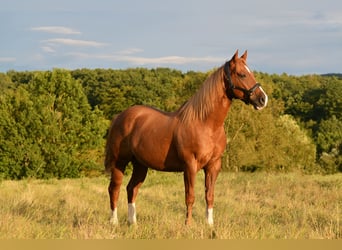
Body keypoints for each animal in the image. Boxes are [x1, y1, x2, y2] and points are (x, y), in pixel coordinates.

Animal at [104, 49, 268, 226]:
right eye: (242, 74)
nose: (262, 99)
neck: (205, 124)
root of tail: (119, 116)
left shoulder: (213, 165)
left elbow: (209, 195)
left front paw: (210, 224)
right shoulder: (190, 165)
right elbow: (190, 196)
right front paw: (188, 225)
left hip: (140, 165)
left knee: (131, 189)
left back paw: (133, 223)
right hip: (120, 162)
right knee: (114, 188)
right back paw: (114, 221)